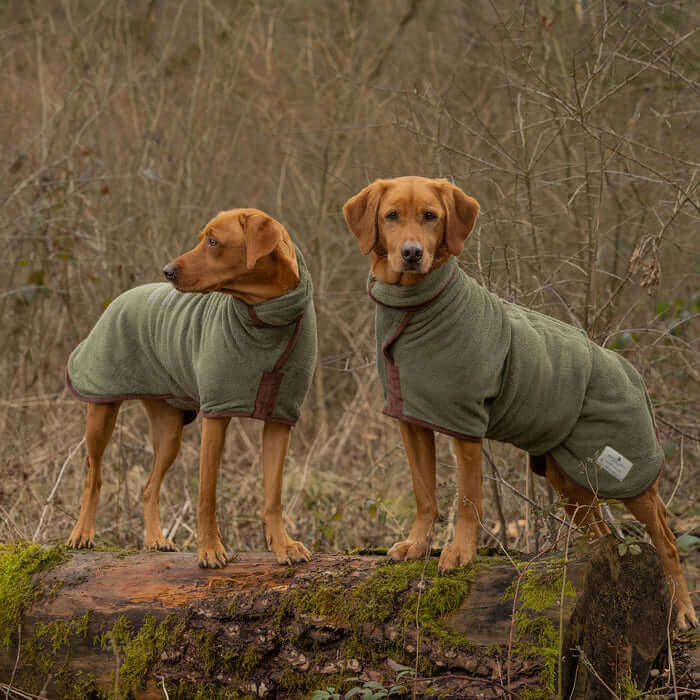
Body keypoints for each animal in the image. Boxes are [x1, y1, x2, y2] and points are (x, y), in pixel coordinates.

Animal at [65, 208, 318, 568]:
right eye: (203, 238)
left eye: (213, 242)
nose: (167, 271)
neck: (268, 316)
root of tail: (120, 298)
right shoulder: (216, 414)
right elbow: (206, 494)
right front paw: (210, 549)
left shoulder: (279, 418)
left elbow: (274, 494)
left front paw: (283, 545)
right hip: (101, 409)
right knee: (93, 474)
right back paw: (82, 533)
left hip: (170, 429)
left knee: (149, 487)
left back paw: (155, 539)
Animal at [344, 175, 696, 628]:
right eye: (391, 216)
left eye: (430, 216)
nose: (411, 253)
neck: (416, 308)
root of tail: (631, 372)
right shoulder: (412, 420)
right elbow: (424, 495)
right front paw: (416, 545)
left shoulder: (466, 426)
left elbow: (467, 498)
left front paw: (460, 552)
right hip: (569, 477)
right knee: (600, 532)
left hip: (628, 474)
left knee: (666, 539)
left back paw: (683, 610)